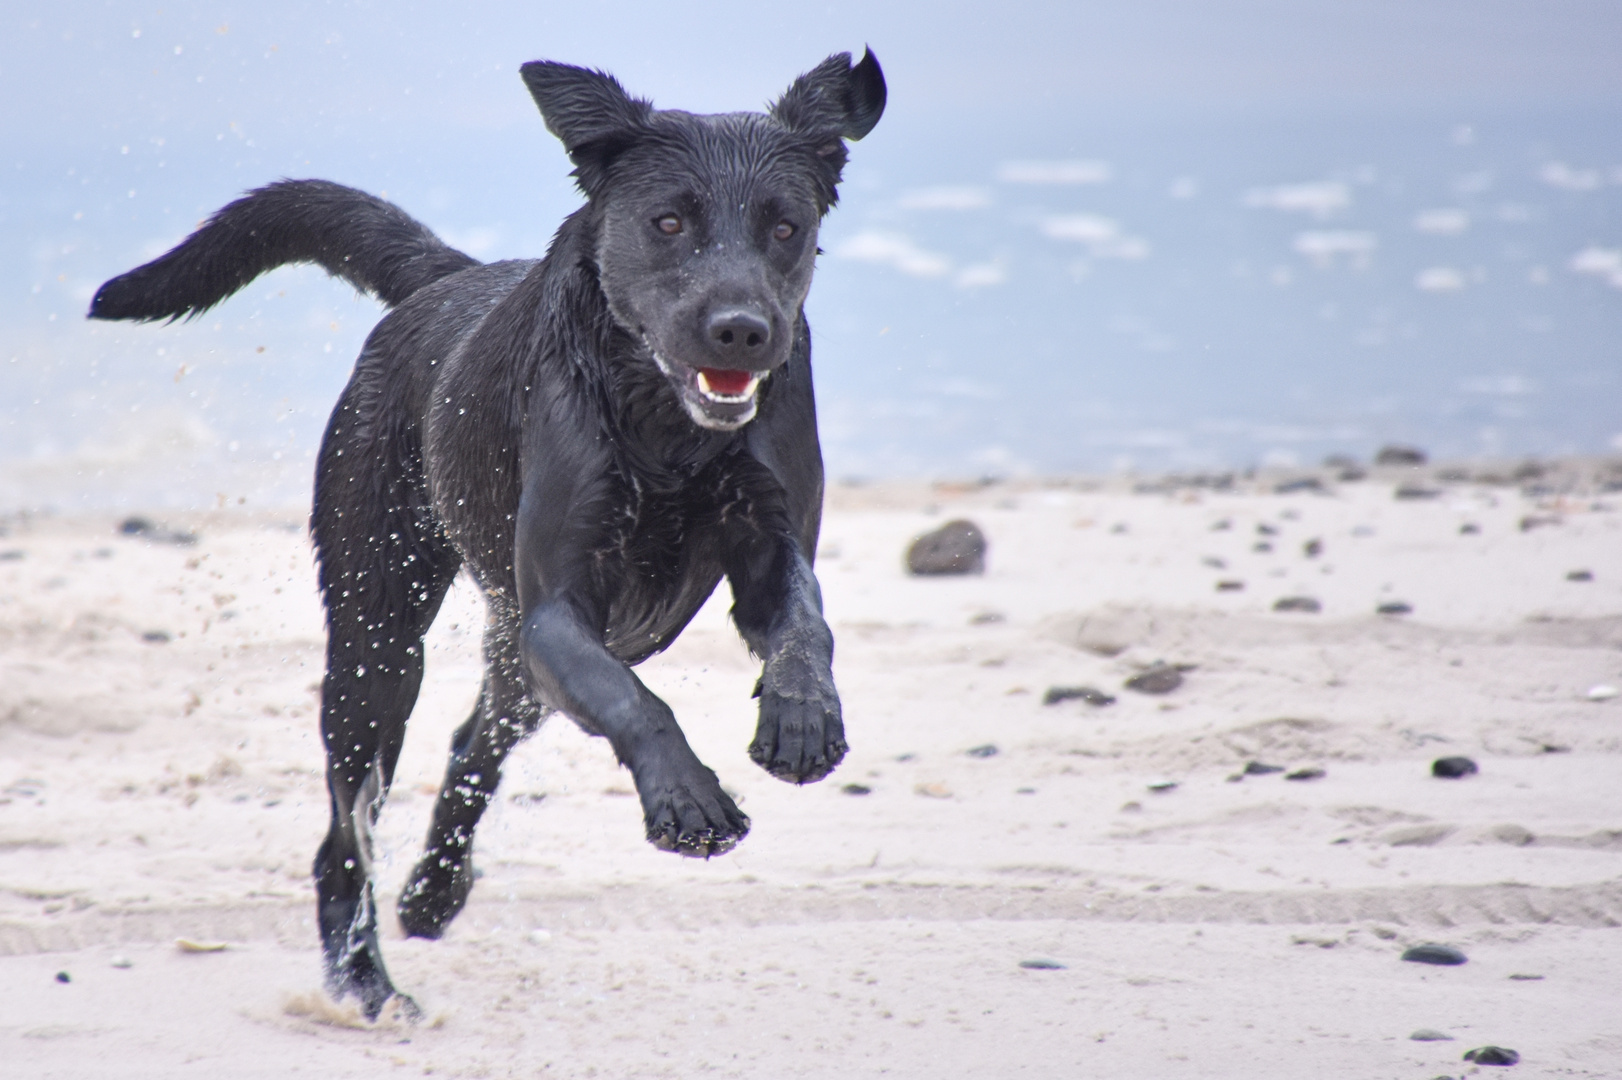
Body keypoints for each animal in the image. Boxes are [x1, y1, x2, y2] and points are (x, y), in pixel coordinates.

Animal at [88, 50, 888, 1018]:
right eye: (668, 222)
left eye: (785, 226)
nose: (742, 329)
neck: (669, 434)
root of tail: (443, 281)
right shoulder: (556, 611)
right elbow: (638, 703)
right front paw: (689, 801)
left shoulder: (766, 547)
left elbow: (807, 624)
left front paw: (802, 718)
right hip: (379, 644)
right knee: (345, 833)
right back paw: (365, 983)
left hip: (518, 658)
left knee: (476, 742)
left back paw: (434, 894)